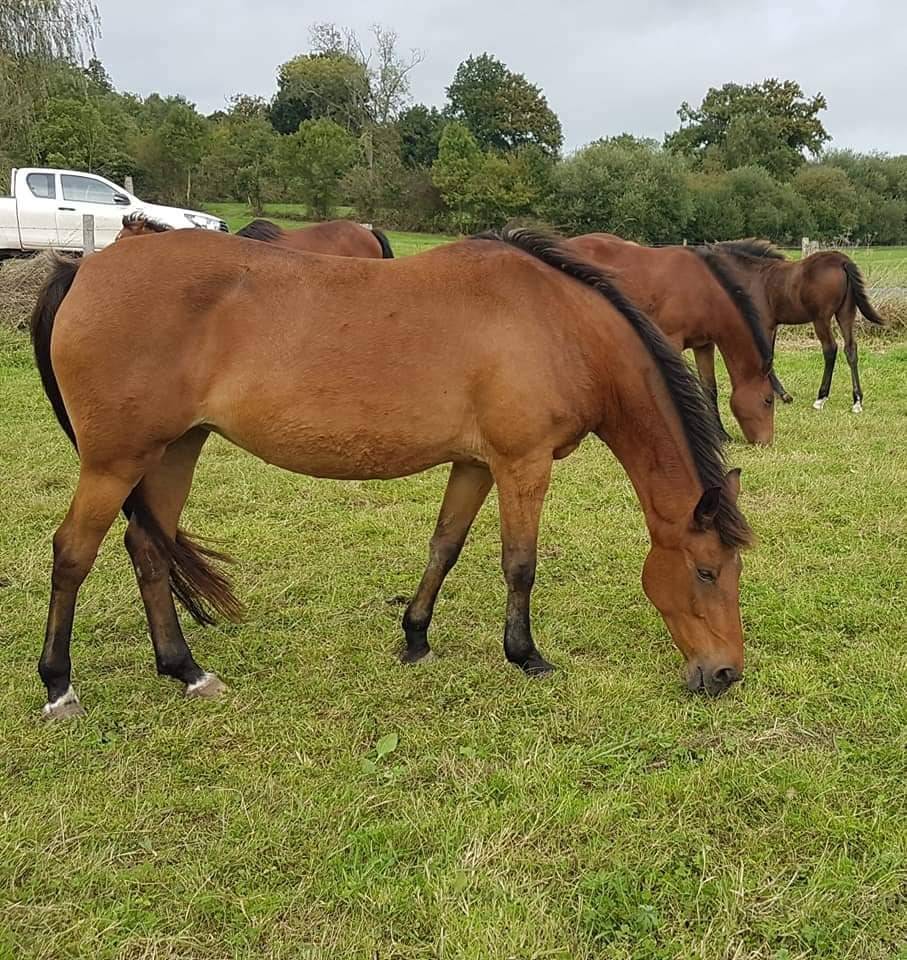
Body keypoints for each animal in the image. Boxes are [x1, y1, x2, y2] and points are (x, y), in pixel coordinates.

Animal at [29, 227, 753, 720]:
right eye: (706, 571)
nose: (725, 675)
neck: (558, 327)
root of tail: (83, 269)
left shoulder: (474, 464)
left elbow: (445, 546)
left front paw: (415, 637)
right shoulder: (522, 464)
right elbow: (519, 563)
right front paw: (525, 655)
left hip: (175, 449)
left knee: (147, 550)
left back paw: (185, 671)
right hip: (115, 462)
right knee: (73, 554)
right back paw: (60, 686)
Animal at [568, 233, 776, 445]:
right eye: (768, 400)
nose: (766, 442)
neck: (704, 291)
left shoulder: (704, 346)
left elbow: (710, 388)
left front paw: (721, 435)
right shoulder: (672, 339)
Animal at [706, 240, 885, 413]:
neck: (752, 276)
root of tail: (842, 261)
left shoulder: (764, 324)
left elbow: (766, 355)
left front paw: (781, 395)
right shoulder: (773, 326)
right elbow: (770, 354)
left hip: (821, 318)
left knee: (830, 349)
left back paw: (821, 398)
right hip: (846, 313)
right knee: (850, 349)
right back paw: (857, 401)